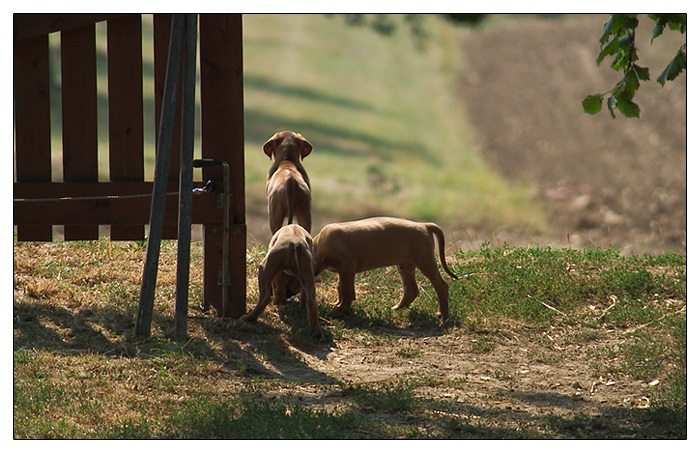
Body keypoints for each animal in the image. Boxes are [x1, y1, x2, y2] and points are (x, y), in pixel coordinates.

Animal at [314, 215, 460, 322]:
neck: (319, 245)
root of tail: (424, 225)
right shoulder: (343, 271)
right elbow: (340, 288)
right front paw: (337, 304)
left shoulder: (348, 267)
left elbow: (346, 291)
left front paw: (341, 312)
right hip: (406, 265)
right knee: (411, 289)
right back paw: (397, 308)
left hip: (425, 261)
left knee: (441, 286)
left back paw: (444, 315)